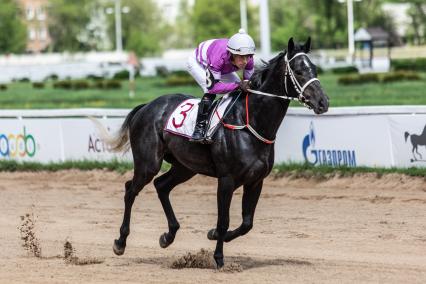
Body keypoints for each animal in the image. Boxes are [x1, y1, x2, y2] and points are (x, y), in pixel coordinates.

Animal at [97, 36, 330, 268]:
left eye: (314, 68)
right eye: (299, 71)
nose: (323, 102)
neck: (250, 122)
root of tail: (146, 106)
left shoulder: (256, 181)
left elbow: (247, 223)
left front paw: (214, 234)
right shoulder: (226, 179)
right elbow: (224, 220)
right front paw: (218, 257)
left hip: (185, 167)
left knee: (161, 186)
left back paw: (168, 236)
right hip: (148, 163)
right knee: (131, 190)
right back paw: (120, 242)